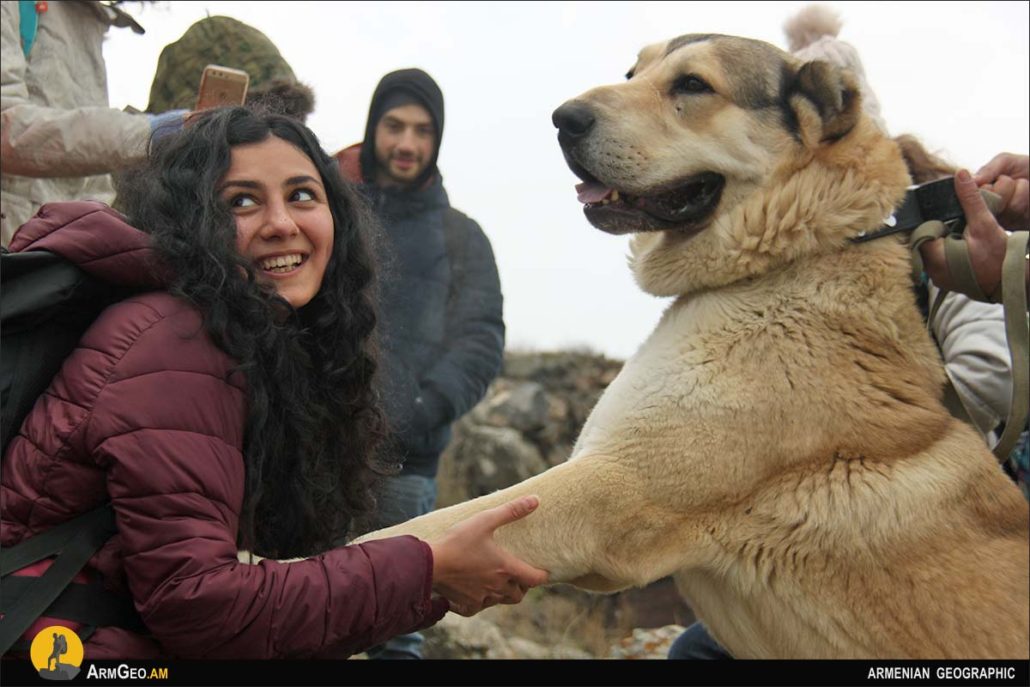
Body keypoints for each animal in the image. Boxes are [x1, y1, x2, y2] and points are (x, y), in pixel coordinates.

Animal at [356, 33, 1030, 659]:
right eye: (634, 72)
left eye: (693, 85)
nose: (562, 118)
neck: (792, 254)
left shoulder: (609, 488)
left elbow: (414, 533)